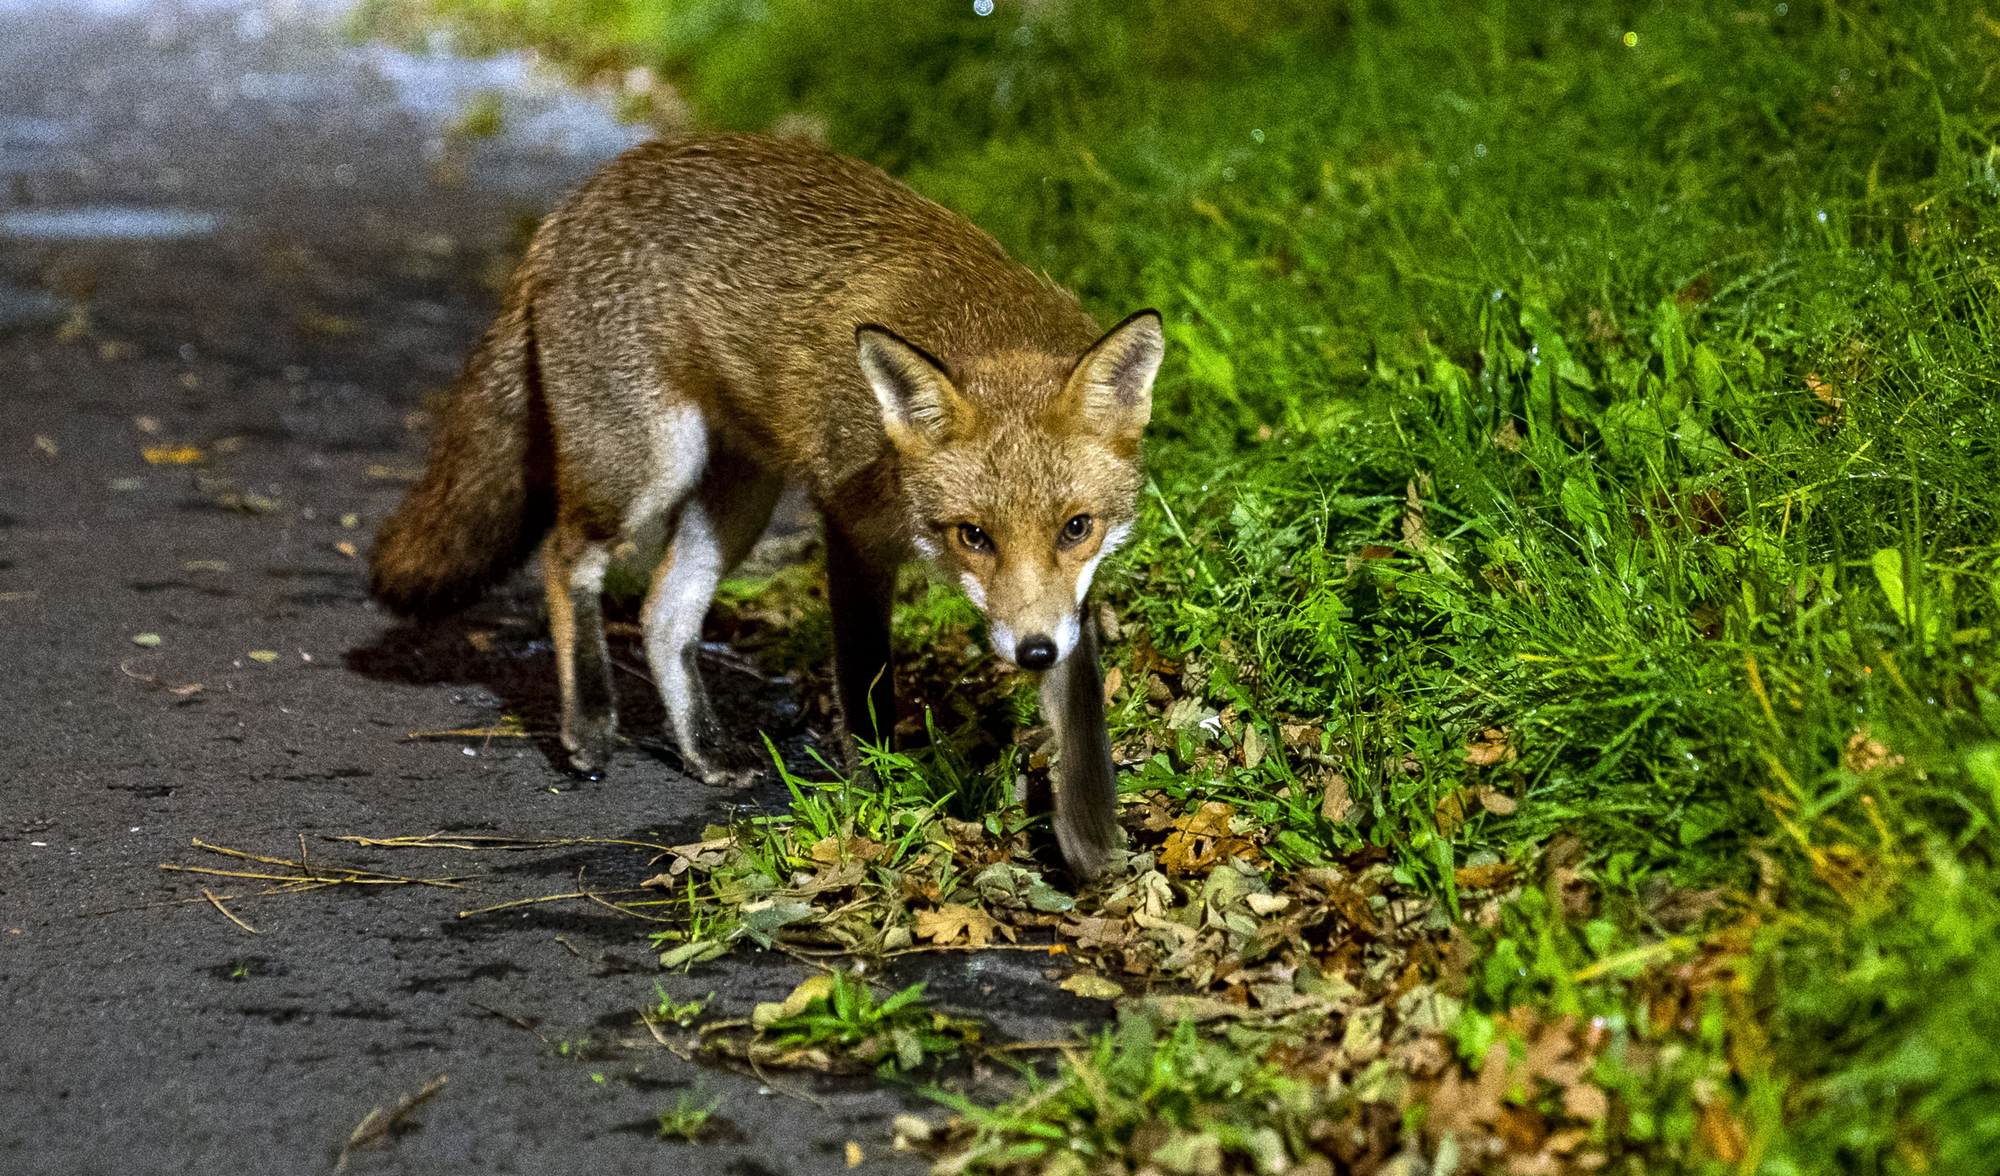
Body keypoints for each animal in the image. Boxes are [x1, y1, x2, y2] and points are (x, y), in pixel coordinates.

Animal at [368, 133, 1164, 879]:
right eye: (973, 535)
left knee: (661, 614)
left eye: (1076, 528)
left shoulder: (1063, 599)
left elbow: (1082, 707)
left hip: (739, 499)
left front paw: (1091, 833)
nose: (1031, 654)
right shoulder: (851, 524)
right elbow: (867, 681)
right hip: (648, 466)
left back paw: (704, 752)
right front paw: (881, 786)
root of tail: (581, 197)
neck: (983, 329)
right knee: (565, 558)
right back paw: (591, 723)